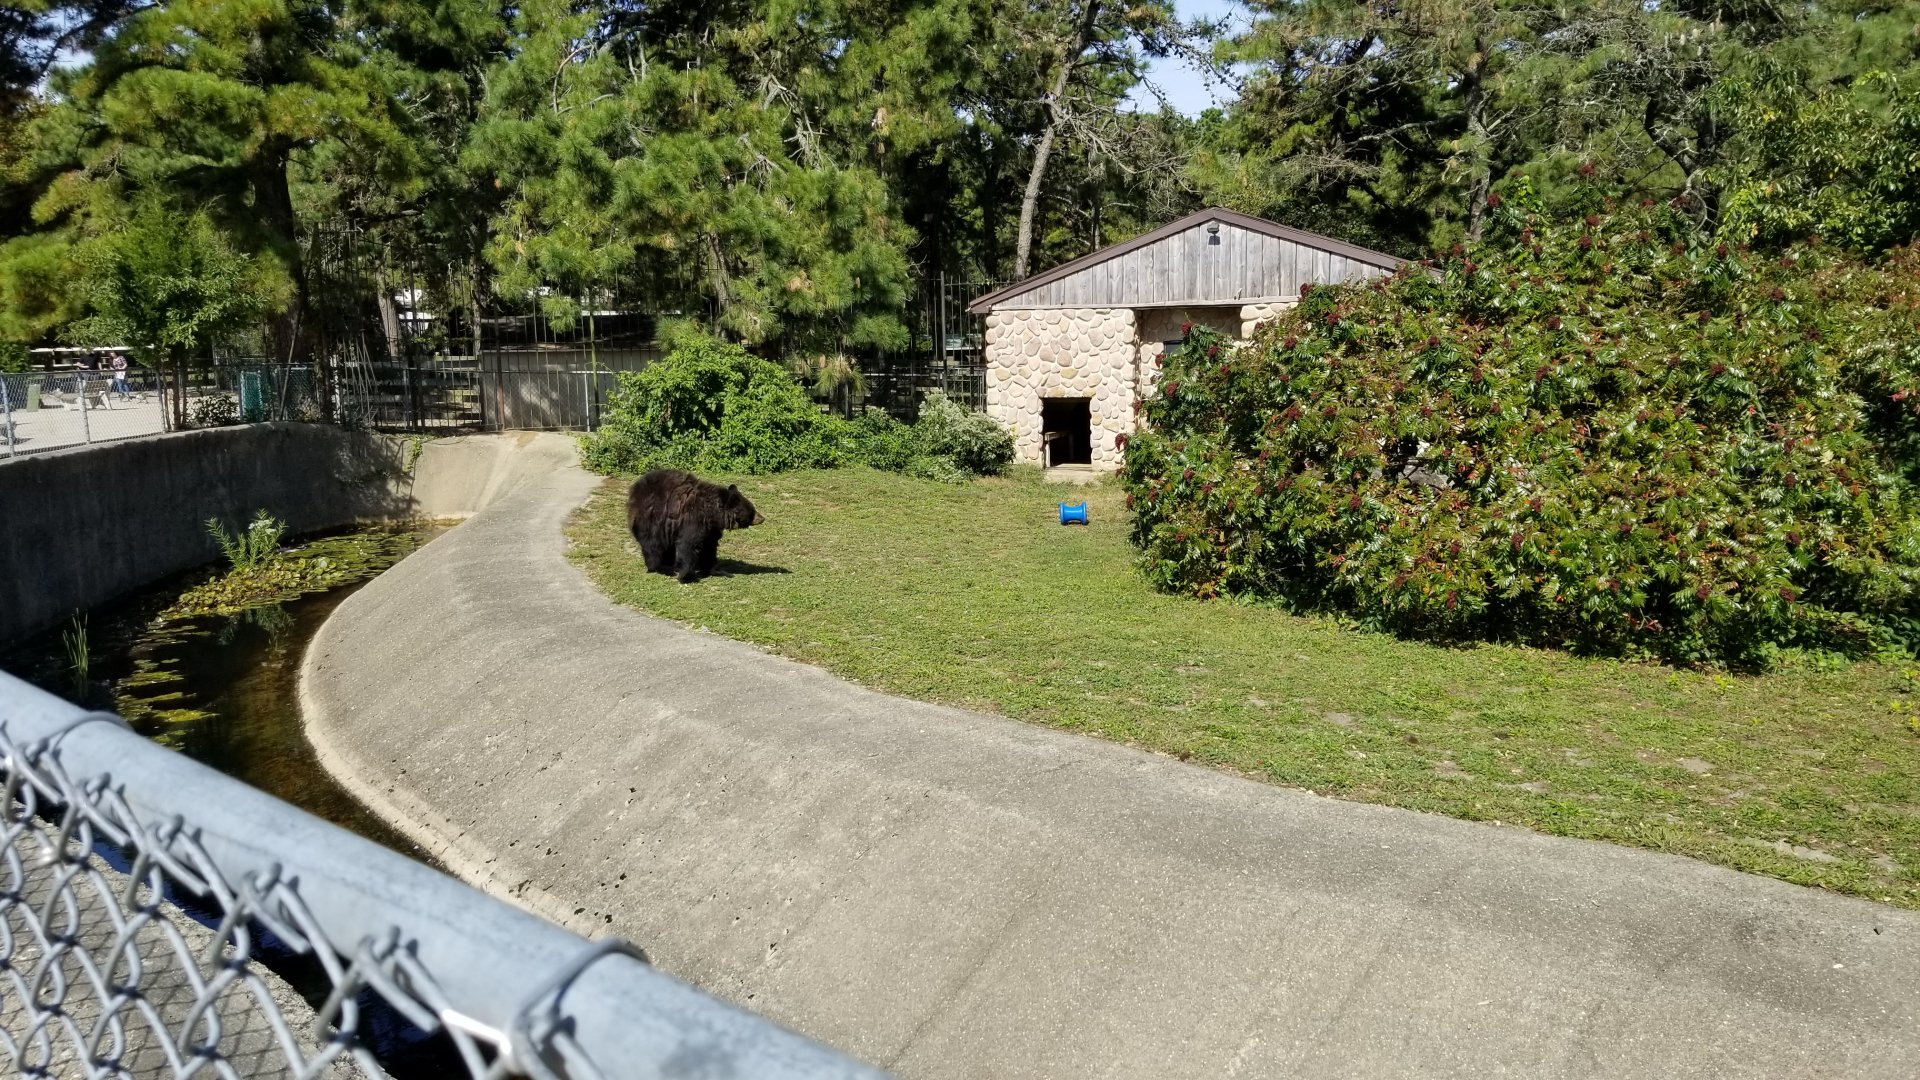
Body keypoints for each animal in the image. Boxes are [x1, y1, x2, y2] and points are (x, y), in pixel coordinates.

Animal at [627, 469, 764, 583]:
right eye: (752, 510)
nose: (762, 518)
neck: (711, 513)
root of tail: (634, 490)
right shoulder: (692, 520)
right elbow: (688, 545)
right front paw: (687, 577)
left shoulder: (710, 529)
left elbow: (709, 547)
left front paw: (717, 570)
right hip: (653, 519)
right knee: (654, 545)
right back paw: (661, 567)